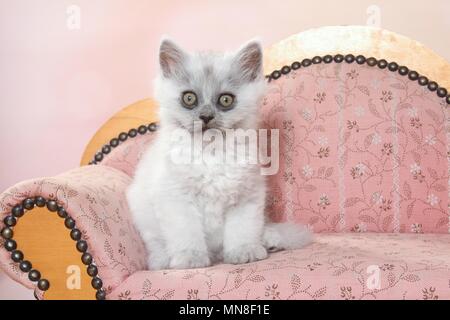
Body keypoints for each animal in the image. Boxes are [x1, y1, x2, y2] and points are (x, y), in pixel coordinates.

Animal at [126, 38, 310, 270]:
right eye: (189, 98)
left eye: (225, 100)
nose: (206, 117)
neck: (211, 152)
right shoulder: (176, 199)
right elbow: (187, 234)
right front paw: (191, 258)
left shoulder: (247, 197)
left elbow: (242, 231)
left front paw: (244, 252)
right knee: (157, 243)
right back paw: (162, 260)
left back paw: (269, 241)